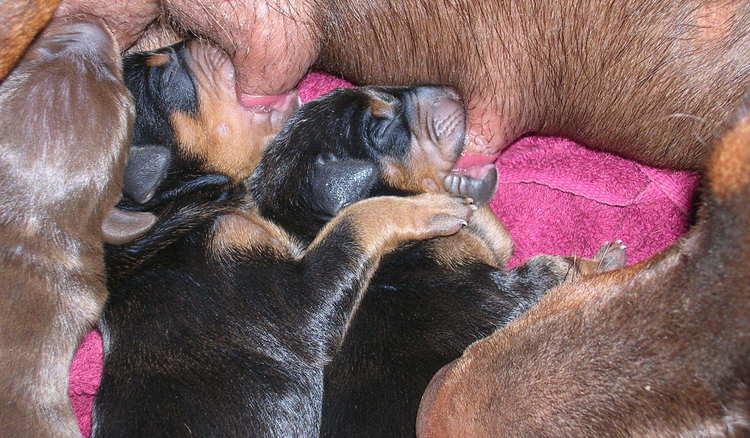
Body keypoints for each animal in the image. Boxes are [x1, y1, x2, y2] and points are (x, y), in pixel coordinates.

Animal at [251, 84, 628, 436]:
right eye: (379, 129)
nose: (451, 92)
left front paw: (466, 184)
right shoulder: (492, 292)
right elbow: (549, 272)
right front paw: (602, 264)